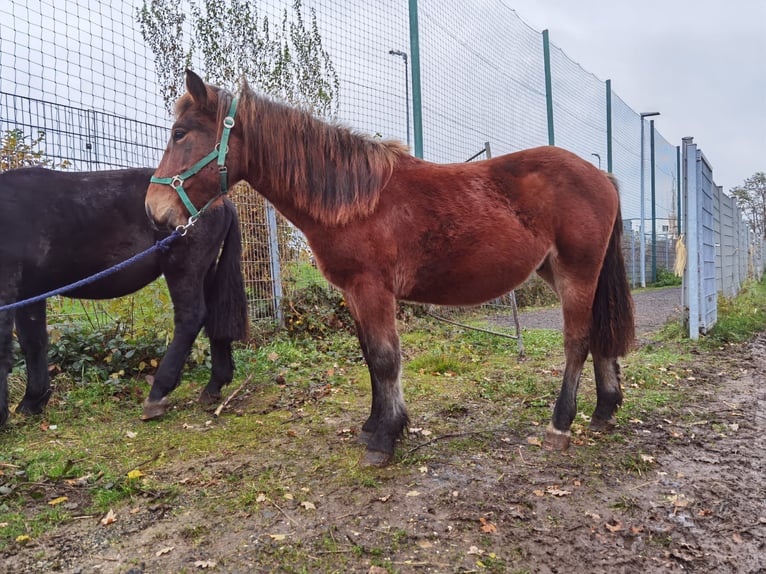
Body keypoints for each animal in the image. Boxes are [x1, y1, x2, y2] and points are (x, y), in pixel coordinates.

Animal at [0, 166, 249, 428]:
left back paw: (158, 394)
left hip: (183, 267)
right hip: (205, 270)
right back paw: (213, 386)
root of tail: (222, 200)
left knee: (190, 318)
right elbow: (33, 342)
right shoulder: (31, 293)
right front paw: (32, 403)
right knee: (213, 317)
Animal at [144, 71, 636, 468]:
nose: (155, 210)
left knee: (577, 341)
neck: (355, 199)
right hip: (560, 271)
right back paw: (604, 410)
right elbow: (370, 357)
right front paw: (374, 425)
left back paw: (561, 425)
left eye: (180, 133)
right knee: (598, 334)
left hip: (577, 271)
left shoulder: (372, 289)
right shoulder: (353, 292)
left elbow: (384, 359)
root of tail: (602, 176)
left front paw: (385, 438)